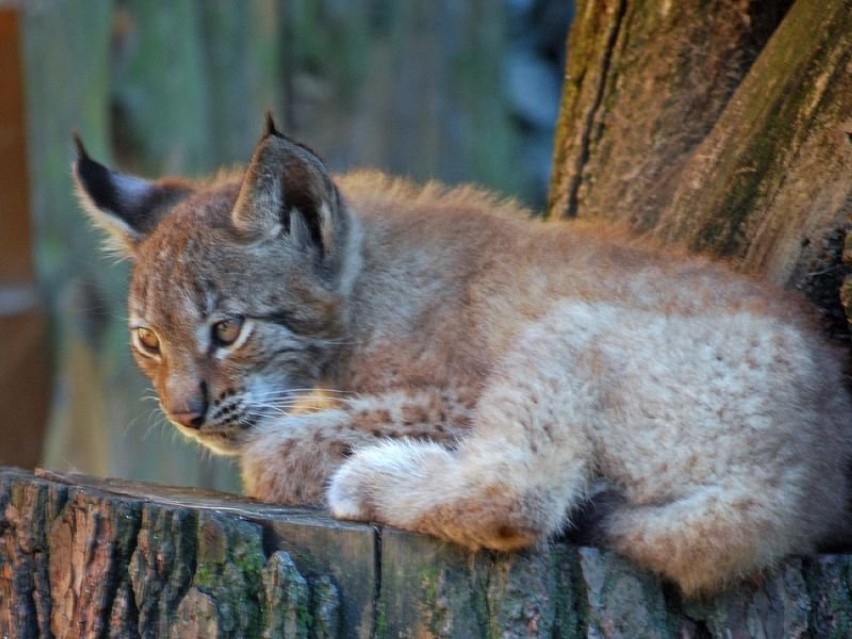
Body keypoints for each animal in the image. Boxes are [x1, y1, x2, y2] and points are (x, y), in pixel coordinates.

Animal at [76, 116, 848, 596]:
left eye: (229, 328)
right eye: (149, 341)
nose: (185, 415)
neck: (362, 283)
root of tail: (803, 484)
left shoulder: (456, 396)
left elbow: (278, 446)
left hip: (568, 324)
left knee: (521, 496)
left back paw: (372, 482)